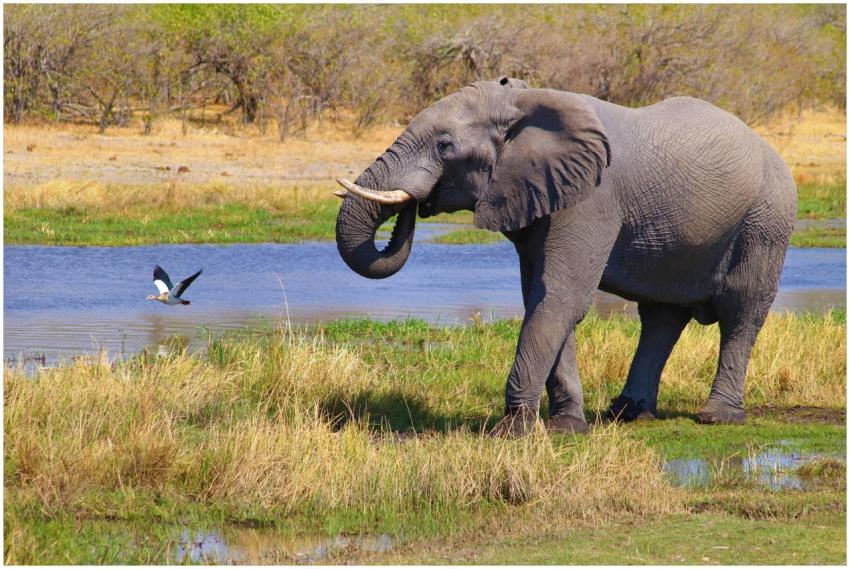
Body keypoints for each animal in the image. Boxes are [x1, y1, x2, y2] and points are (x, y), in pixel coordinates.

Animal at [334, 77, 796, 436]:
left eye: (445, 145)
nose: (415, 205)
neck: (525, 101)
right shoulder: (542, 198)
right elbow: (543, 297)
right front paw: (566, 427)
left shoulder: (591, 200)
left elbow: (559, 298)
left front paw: (513, 432)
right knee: (661, 317)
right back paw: (627, 414)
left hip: (766, 221)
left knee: (741, 312)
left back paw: (718, 418)